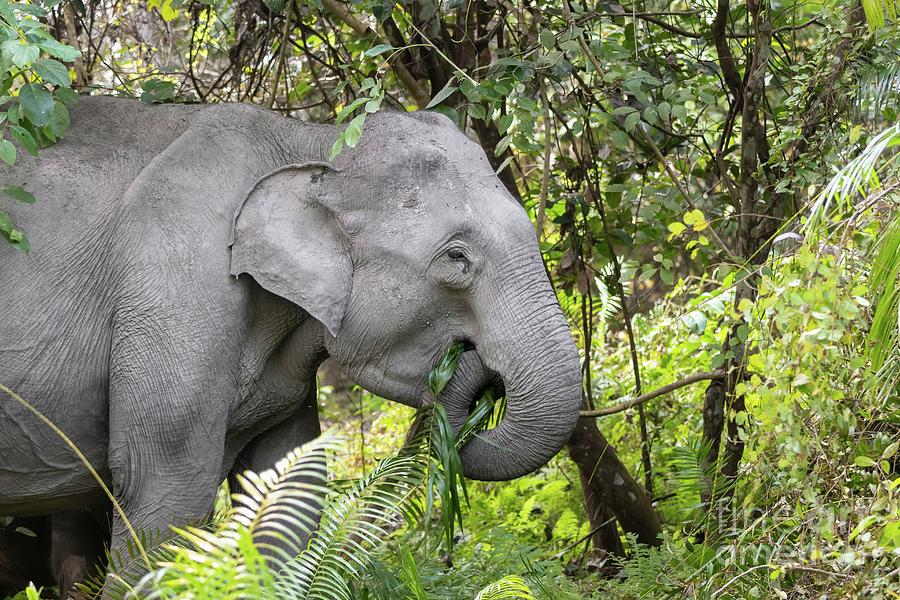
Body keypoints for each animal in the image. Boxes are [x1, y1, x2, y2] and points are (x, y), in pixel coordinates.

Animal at [0, 96, 584, 592]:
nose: (476, 372)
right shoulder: (176, 286)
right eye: (457, 258)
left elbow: (288, 486)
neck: (312, 143)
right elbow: (165, 486)